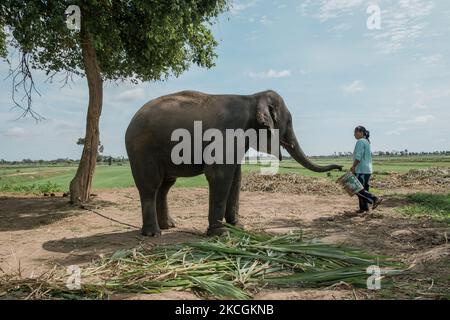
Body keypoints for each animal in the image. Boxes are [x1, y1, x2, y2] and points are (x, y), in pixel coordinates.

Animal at [125, 90, 342, 238]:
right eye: (287, 122)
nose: (340, 168)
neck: (252, 98)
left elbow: (236, 178)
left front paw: (238, 227)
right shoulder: (225, 135)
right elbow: (219, 175)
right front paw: (220, 233)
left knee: (165, 185)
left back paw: (169, 226)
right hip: (142, 150)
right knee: (151, 186)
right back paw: (153, 234)